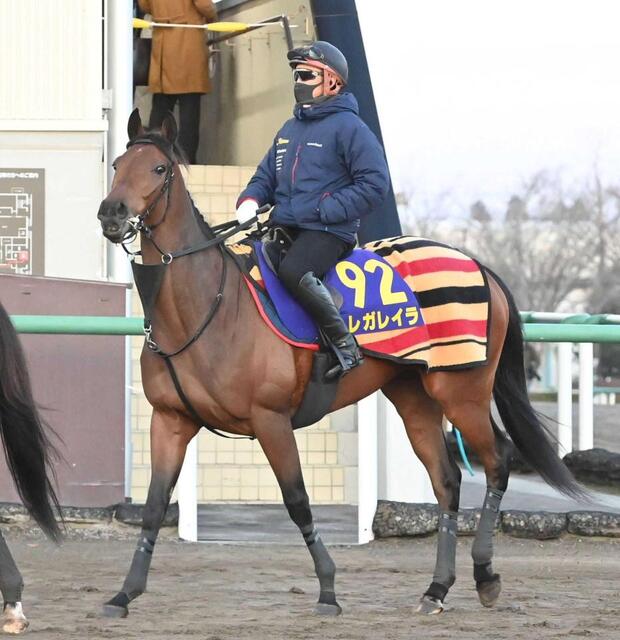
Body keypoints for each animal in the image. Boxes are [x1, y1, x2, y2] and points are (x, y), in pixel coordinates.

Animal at [97, 109, 583, 619]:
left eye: (159, 169)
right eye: (117, 165)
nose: (111, 213)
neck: (210, 308)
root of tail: (481, 267)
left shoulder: (270, 420)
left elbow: (297, 501)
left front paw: (328, 589)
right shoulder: (171, 420)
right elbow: (153, 507)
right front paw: (124, 593)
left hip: (461, 393)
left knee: (497, 461)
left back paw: (486, 575)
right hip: (413, 396)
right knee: (447, 480)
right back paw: (436, 589)